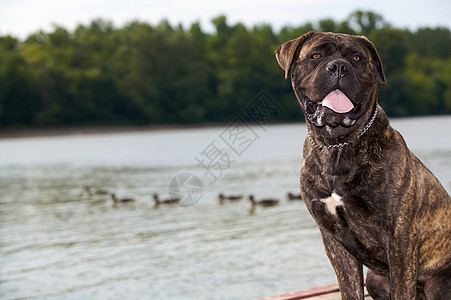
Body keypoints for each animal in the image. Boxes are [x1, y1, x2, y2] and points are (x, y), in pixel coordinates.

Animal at [276, 31, 451, 298]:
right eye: (316, 55)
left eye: (357, 58)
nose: (339, 66)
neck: (338, 144)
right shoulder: (334, 240)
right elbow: (350, 289)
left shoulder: (400, 236)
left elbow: (402, 289)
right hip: (375, 280)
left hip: (438, 282)